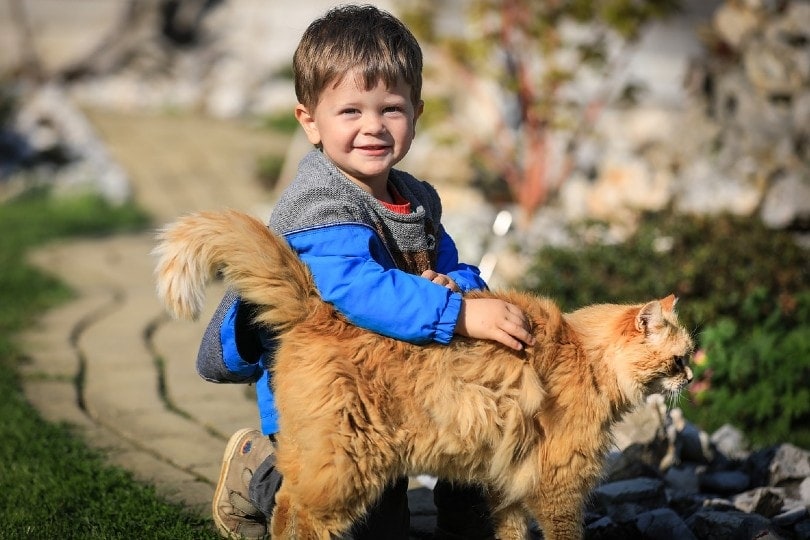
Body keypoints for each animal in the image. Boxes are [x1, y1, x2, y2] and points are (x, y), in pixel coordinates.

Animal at [153, 209, 696, 536]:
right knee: (294, 512)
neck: (584, 356)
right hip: (347, 466)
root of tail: (320, 308)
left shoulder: (509, 484)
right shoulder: (559, 485)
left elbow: (510, 531)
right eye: (680, 359)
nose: (691, 379)